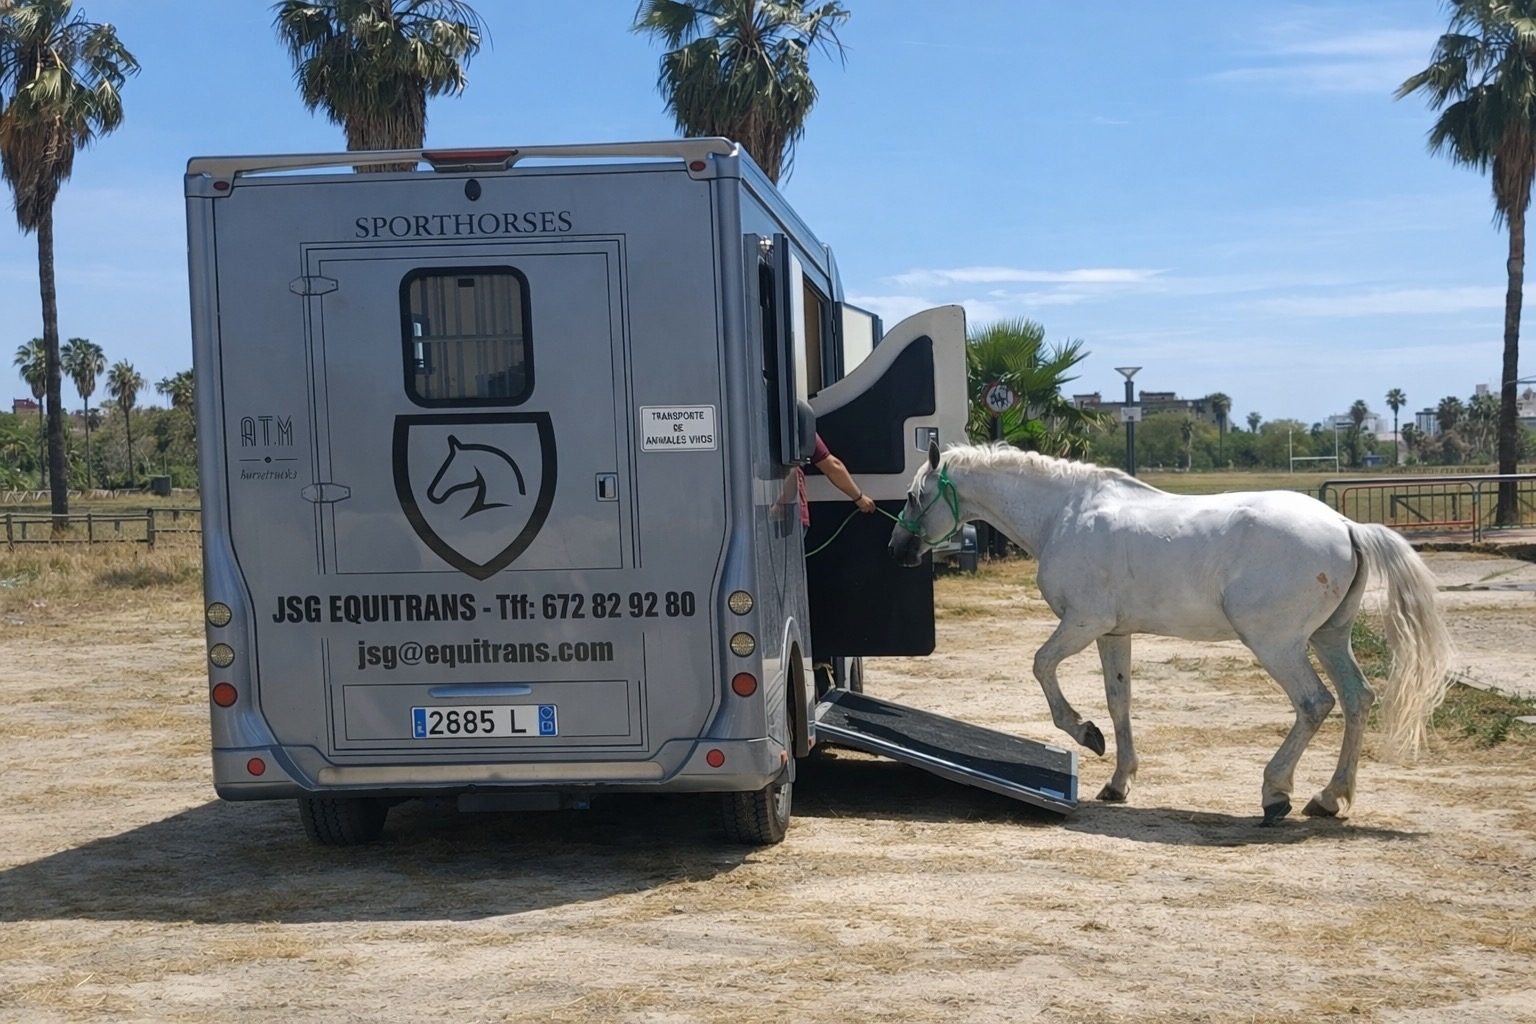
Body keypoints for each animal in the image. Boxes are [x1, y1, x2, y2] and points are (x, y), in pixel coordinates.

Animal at [889, 442, 1453, 825]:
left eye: (915, 496)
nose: (897, 551)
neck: (1064, 515)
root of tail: (1346, 526)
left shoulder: (1082, 623)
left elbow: (1042, 666)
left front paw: (1085, 734)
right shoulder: (1113, 633)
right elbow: (1119, 701)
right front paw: (1118, 780)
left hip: (1277, 643)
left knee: (1315, 703)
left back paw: (1276, 794)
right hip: (1328, 638)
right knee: (1357, 699)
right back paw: (1330, 798)